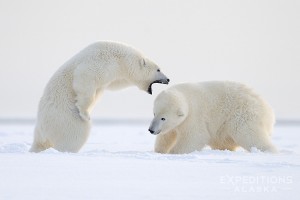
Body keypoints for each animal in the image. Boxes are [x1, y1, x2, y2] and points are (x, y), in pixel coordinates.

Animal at [31, 41, 171, 153]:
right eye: (158, 69)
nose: (168, 79)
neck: (121, 58)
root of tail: (41, 128)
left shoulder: (114, 76)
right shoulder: (100, 61)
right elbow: (85, 79)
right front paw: (85, 114)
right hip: (64, 119)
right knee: (75, 135)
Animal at [149, 82, 278, 154]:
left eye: (163, 118)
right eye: (154, 114)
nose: (151, 130)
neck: (187, 99)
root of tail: (268, 111)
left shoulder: (194, 116)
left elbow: (195, 136)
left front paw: (174, 152)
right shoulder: (176, 124)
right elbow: (167, 135)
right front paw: (159, 151)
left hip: (243, 114)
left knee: (250, 135)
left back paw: (267, 150)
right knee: (222, 141)